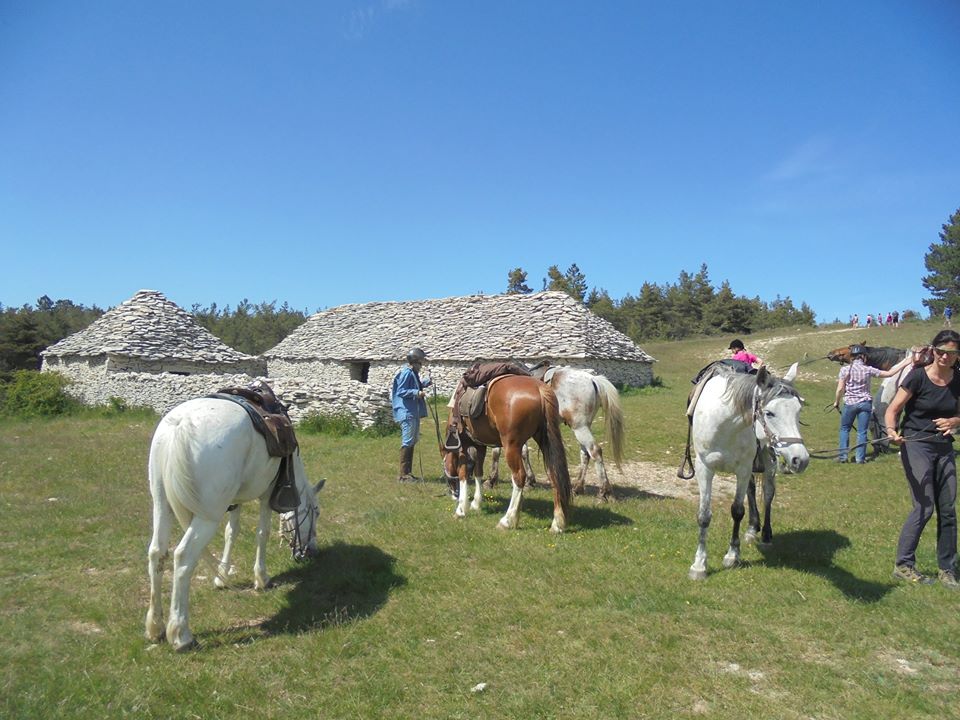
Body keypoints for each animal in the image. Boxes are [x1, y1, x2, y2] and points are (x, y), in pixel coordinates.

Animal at [143, 400, 322, 652]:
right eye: (316, 511)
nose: (312, 551)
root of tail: (180, 426)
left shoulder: (235, 499)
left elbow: (231, 532)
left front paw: (222, 576)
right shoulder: (267, 495)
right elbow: (262, 533)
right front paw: (261, 578)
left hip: (161, 503)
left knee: (157, 553)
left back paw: (155, 626)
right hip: (206, 517)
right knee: (183, 557)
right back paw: (181, 634)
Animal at [442, 374, 568, 532]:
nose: (453, 493)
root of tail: (539, 388)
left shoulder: (464, 446)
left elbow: (463, 474)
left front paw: (461, 509)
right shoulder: (480, 446)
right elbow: (478, 472)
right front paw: (476, 503)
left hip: (511, 446)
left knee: (519, 477)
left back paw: (507, 520)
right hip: (544, 442)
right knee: (554, 474)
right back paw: (557, 524)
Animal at [488, 368, 632, 498]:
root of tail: (592, 379)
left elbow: (497, 452)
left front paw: (491, 480)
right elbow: (524, 453)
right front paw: (530, 481)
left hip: (580, 427)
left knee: (595, 451)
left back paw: (604, 492)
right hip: (584, 427)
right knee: (585, 454)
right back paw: (578, 488)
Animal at [688, 366, 808, 580]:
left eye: (798, 411)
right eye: (769, 413)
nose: (800, 460)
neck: (726, 424)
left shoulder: (743, 469)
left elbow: (737, 511)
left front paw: (732, 555)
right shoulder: (704, 468)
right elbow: (704, 515)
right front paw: (699, 565)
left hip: (768, 461)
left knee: (768, 494)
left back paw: (766, 535)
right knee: (752, 491)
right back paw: (753, 529)